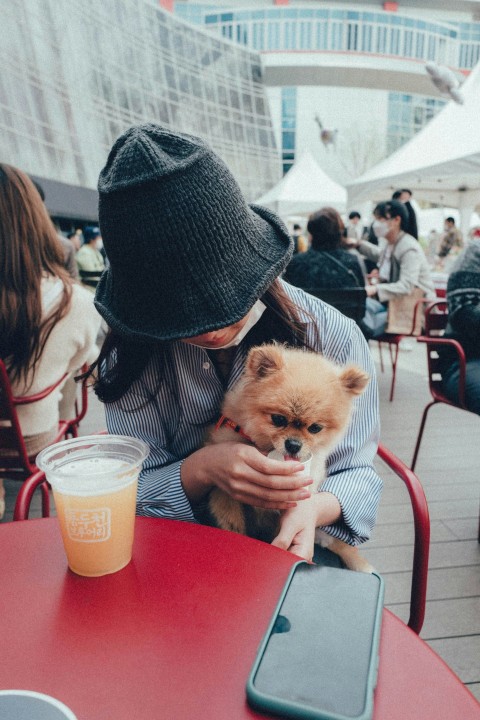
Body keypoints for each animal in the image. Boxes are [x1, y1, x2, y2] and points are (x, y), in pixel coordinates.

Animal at [206, 344, 376, 572]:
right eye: (278, 419)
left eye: (315, 428)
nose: (294, 444)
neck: (264, 447)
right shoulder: (222, 488)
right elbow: (230, 519)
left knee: (341, 544)